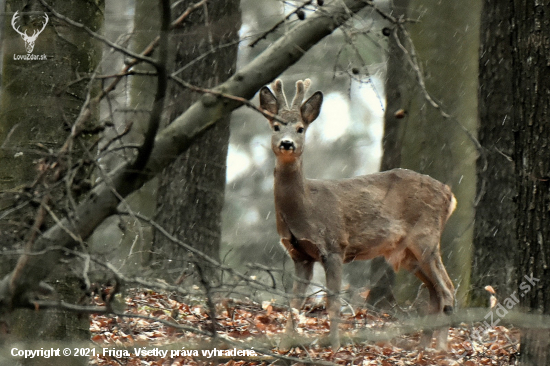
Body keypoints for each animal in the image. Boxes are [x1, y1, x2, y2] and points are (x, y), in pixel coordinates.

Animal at [260, 79, 460, 348]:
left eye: (301, 129)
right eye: (276, 126)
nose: (287, 143)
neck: (305, 207)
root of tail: (449, 195)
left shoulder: (334, 246)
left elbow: (333, 303)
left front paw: (334, 347)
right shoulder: (299, 254)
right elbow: (294, 304)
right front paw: (284, 346)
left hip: (425, 237)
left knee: (447, 289)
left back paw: (439, 348)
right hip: (407, 253)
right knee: (434, 292)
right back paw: (423, 347)